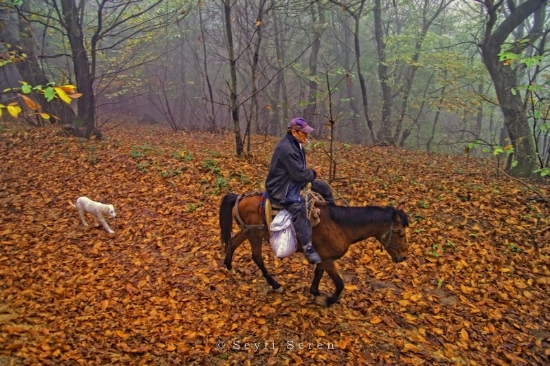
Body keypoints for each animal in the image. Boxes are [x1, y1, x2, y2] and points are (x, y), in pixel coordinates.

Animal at [220, 193, 410, 308]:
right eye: (401, 233)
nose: (403, 257)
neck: (341, 226)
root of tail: (239, 198)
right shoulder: (328, 260)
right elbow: (340, 284)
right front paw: (326, 300)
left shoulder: (324, 258)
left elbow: (318, 274)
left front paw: (315, 292)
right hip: (254, 235)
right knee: (257, 257)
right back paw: (275, 285)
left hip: (247, 232)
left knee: (233, 243)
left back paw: (229, 266)